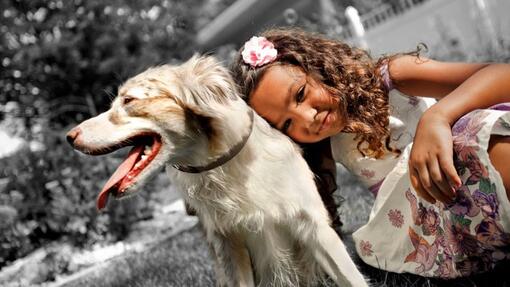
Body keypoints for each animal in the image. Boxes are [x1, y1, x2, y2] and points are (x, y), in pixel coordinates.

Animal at [67, 55, 368, 286]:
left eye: (129, 100)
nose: (69, 137)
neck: (226, 166)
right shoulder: (228, 246)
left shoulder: (314, 226)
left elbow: (351, 278)